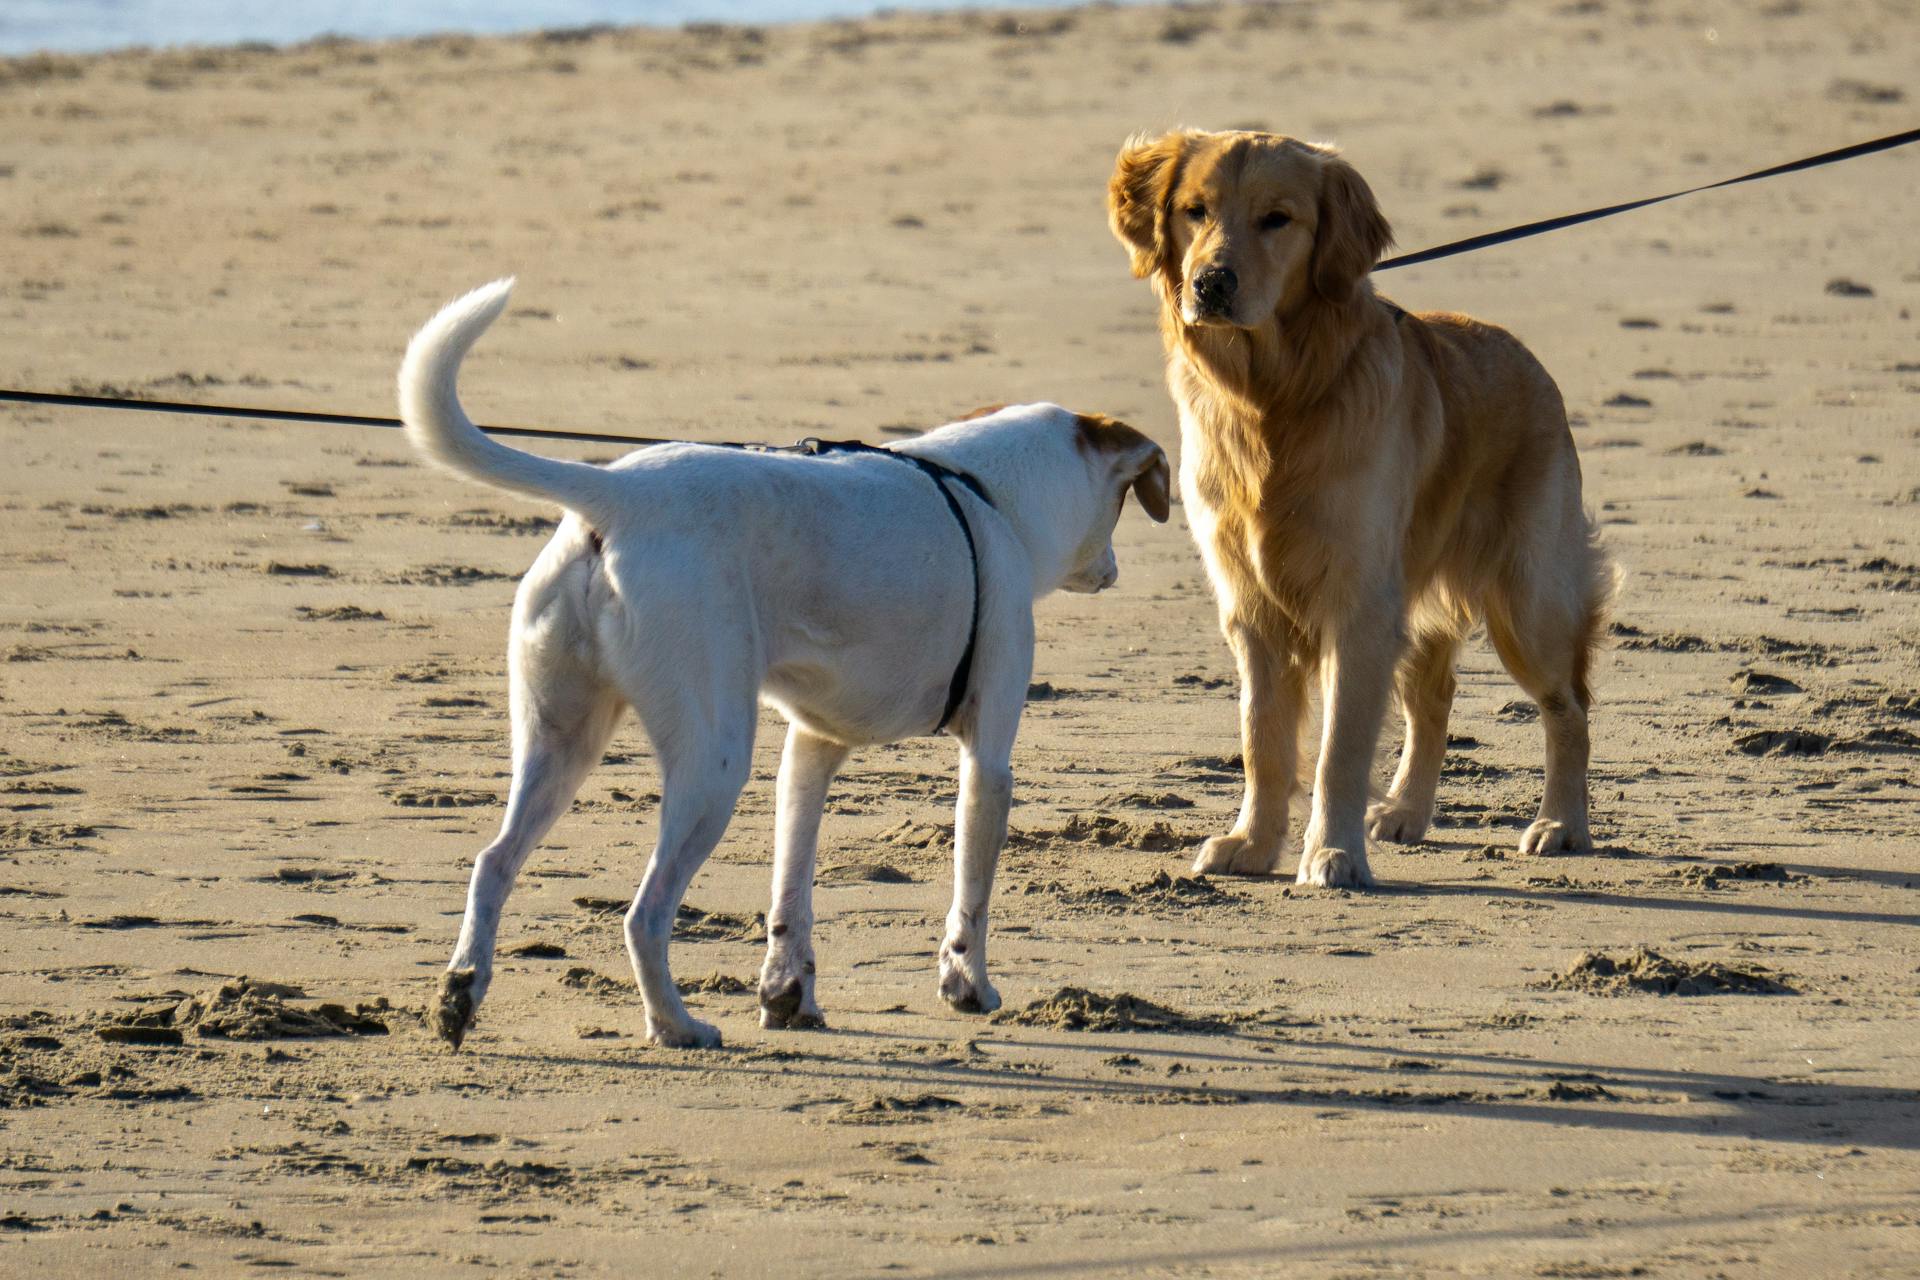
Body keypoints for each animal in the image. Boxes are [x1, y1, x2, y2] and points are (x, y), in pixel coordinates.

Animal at [401, 280, 1167, 1051]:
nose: (1114, 569)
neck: (986, 495)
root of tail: (619, 496)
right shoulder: (990, 759)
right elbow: (971, 895)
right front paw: (967, 987)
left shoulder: (811, 750)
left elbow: (791, 889)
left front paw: (786, 993)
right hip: (711, 760)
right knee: (645, 914)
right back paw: (675, 1023)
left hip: (560, 740)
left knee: (494, 863)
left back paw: (461, 992)